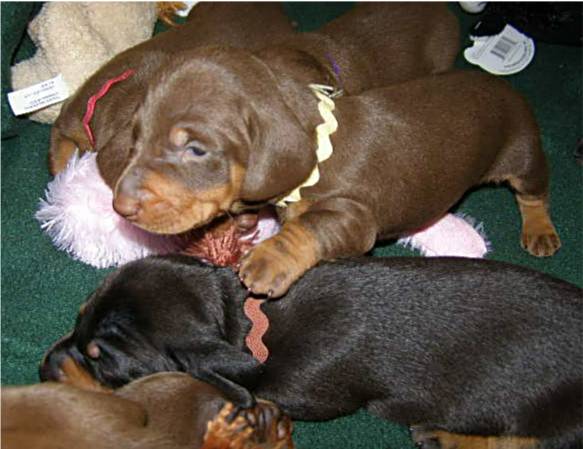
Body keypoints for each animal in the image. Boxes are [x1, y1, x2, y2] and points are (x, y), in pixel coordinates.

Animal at [42, 256, 583, 448]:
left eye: (103, 360)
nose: (45, 367)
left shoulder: (303, 392)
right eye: (77, 317)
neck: (248, 322)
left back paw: (446, 435)